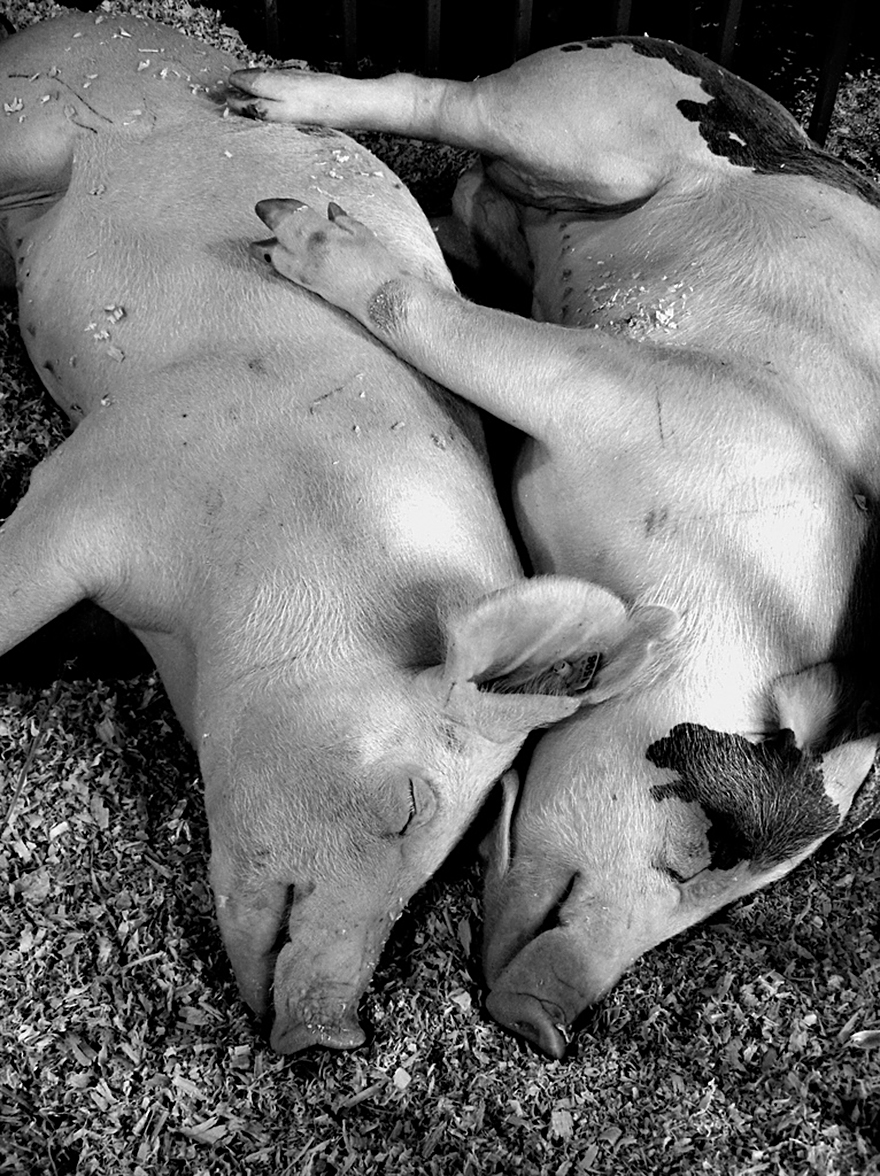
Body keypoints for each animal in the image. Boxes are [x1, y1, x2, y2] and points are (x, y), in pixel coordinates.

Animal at [0, 14, 668, 1054]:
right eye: (408, 807)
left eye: (439, 872)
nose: (334, 1034)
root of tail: (76, 19)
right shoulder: (109, 471)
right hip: (30, 118)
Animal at [228, 36, 880, 1056]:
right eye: (712, 843)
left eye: (735, 900)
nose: (547, 1022)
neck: (727, 584)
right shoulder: (633, 390)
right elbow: (432, 319)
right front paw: (296, 240)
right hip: (584, 107)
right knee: (446, 103)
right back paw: (264, 132)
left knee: (470, 201)